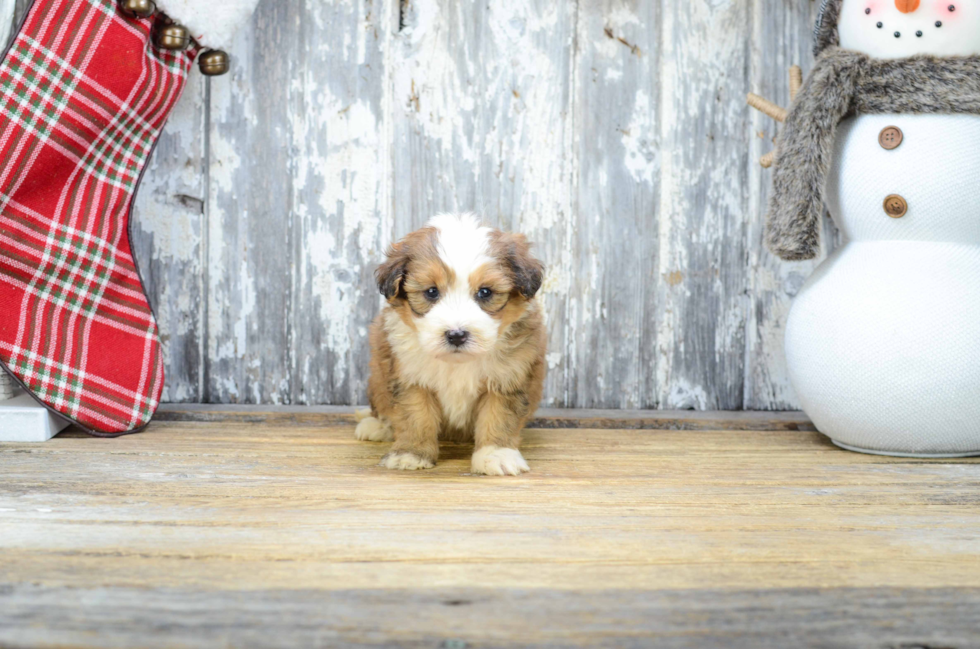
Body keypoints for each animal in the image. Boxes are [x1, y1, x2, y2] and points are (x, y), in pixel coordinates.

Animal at [356, 215, 548, 474]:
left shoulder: (508, 377)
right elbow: (414, 416)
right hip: (376, 378)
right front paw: (411, 453)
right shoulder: (409, 375)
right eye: (431, 292)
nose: (456, 335)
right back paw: (377, 426)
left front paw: (496, 454)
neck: (457, 362)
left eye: (485, 292)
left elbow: (499, 416)